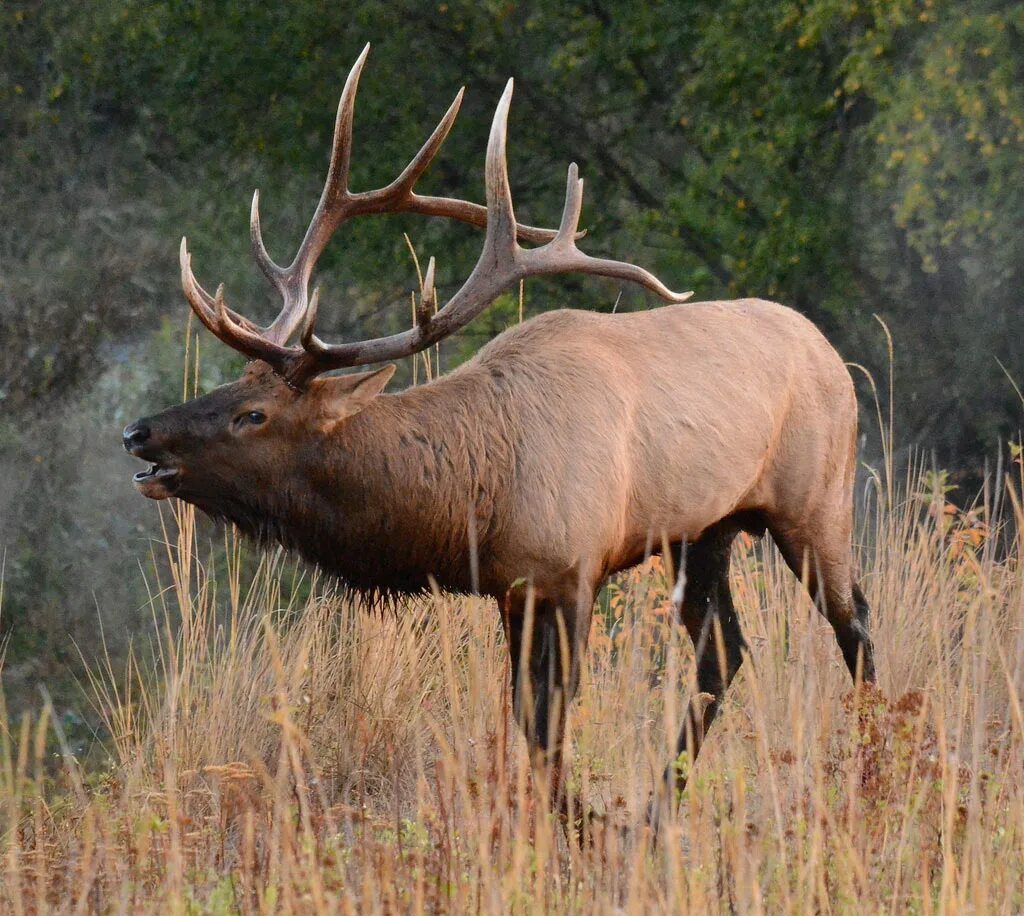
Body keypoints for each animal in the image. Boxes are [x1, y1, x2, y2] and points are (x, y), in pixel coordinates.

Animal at [125, 46, 880, 839]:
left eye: (254, 415)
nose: (139, 434)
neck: (475, 494)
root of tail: (834, 357)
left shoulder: (574, 569)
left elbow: (552, 716)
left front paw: (574, 826)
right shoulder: (509, 586)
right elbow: (525, 716)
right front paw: (577, 820)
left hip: (815, 499)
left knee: (853, 623)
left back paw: (869, 770)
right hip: (705, 530)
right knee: (724, 655)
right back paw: (656, 809)